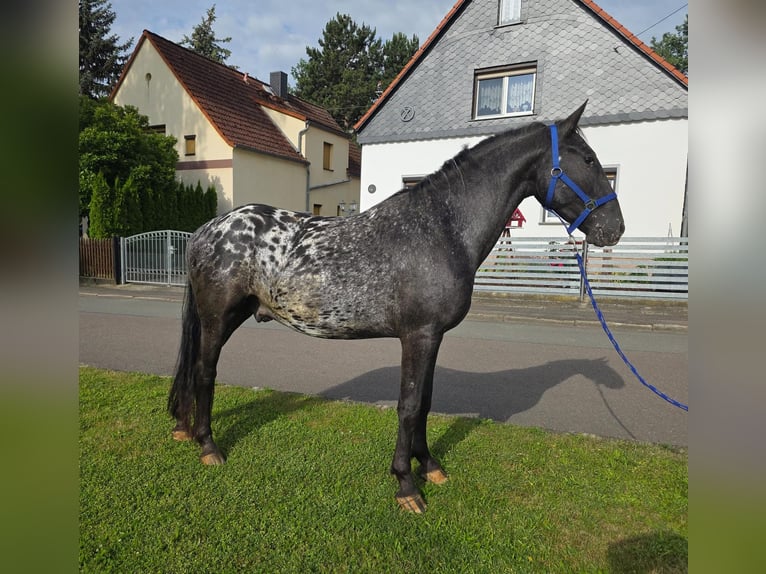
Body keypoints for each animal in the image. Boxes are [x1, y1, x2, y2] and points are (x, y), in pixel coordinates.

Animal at [168, 101, 624, 513]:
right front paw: (406, 484)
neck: (440, 228)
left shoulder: (432, 337)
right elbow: (408, 406)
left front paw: (430, 466)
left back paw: (186, 432)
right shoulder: (418, 336)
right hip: (217, 318)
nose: (615, 228)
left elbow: (424, 401)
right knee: (204, 372)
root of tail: (207, 230)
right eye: (588, 159)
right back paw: (209, 446)